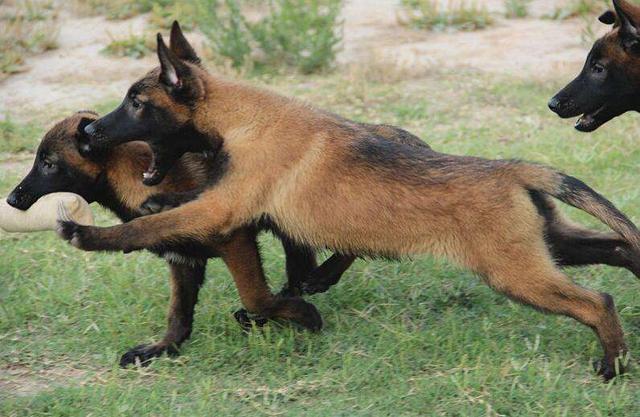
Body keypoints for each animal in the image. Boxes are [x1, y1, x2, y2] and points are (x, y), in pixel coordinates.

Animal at [65, 22, 640, 380]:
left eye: (136, 103)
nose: (90, 131)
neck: (243, 118)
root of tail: (515, 168)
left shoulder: (223, 209)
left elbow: (149, 226)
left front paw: (89, 233)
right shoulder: (226, 201)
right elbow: (177, 208)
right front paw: (156, 204)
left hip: (516, 273)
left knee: (598, 302)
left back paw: (613, 366)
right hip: (551, 247)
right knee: (618, 250)